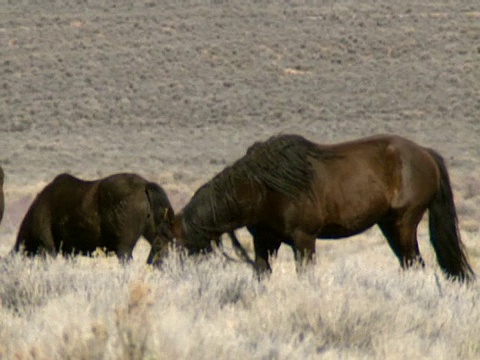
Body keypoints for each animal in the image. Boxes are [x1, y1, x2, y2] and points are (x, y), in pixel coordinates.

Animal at [174, 134, 474, 282]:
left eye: (177, 246)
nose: (172, 275)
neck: (262, 187)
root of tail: (425, 152)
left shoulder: (304, 239)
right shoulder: (264, 241)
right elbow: (262, 274)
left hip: (404, 223)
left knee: (414, 262)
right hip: (388, 225)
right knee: (408, 263)